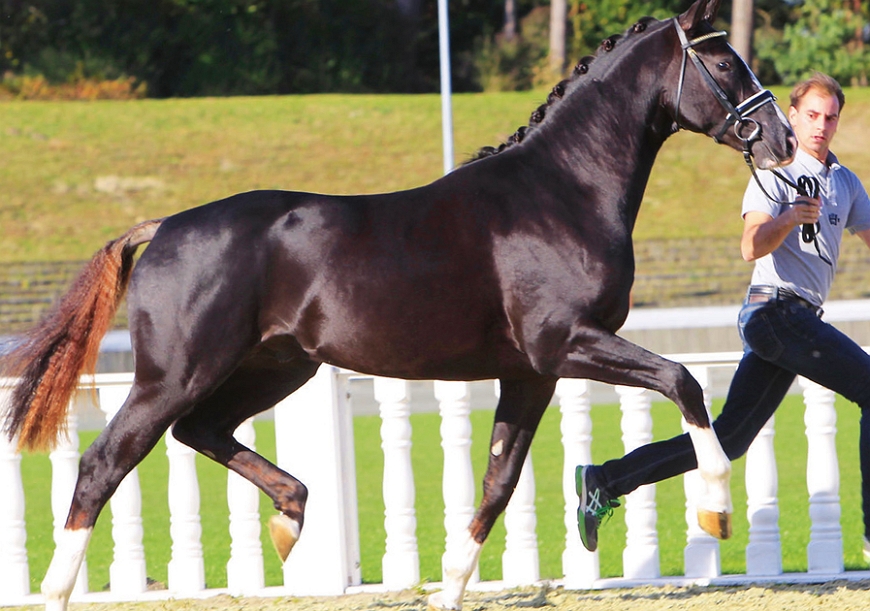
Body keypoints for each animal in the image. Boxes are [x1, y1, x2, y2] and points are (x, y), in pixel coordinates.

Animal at [1, 2, 796, 608]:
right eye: (726, 65)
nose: (783, 139)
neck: (561, 192)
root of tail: (160, 227)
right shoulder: (566, 342)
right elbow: (683, 381)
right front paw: (717, 507)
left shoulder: (531, 372)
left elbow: (497, 482)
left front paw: (450, 588)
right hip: (175, 373)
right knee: (103, 463)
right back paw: (60, 591)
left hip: (274, 366)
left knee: (202, 431)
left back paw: (291, 515)